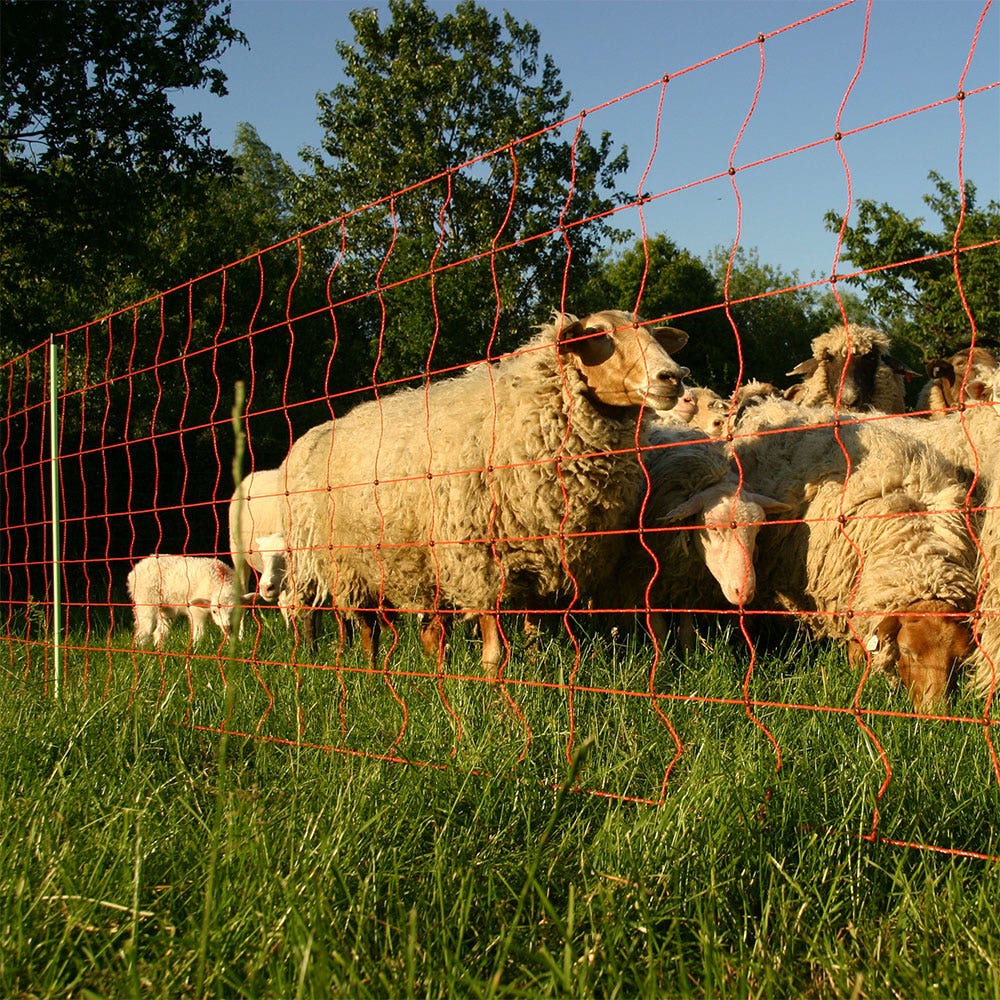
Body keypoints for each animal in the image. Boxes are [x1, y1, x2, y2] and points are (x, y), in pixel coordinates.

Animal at [278, 308, 692, 676]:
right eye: (599, 334)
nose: (672, 377)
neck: (525, 419)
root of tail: (331, 424)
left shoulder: (546, 564)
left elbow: (535, 639)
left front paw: (537, 672)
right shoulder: (483, 563)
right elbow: (495, 648)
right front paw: (494, 687)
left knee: (421, 630)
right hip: (341, 561)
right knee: (350, 623)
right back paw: (354, 666)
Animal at [728, 398, 976, 712]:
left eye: (960, 658)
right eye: (907, 651)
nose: (934, 714)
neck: (916, 547)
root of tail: (768, 404)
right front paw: (859, 672)